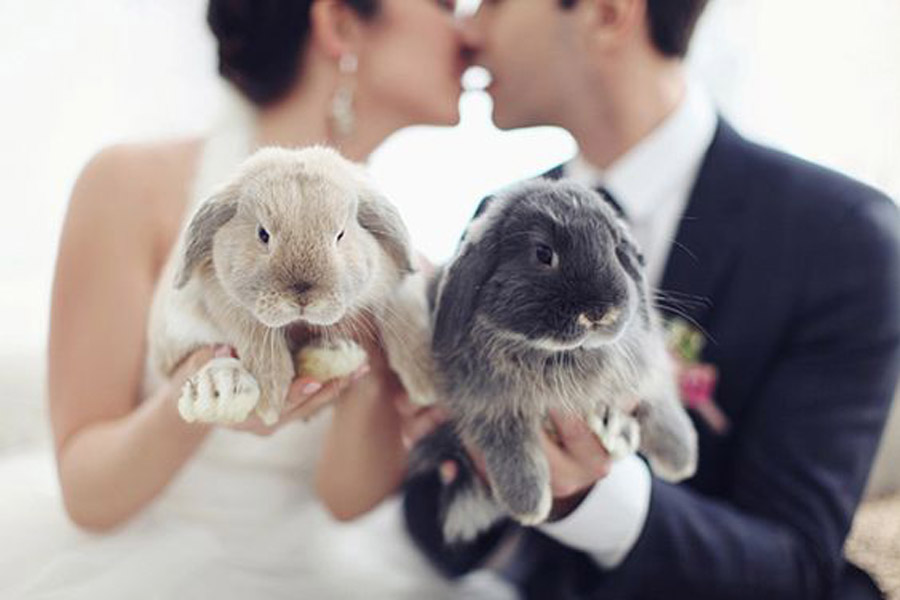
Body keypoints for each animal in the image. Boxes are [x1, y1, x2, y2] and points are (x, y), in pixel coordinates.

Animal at [412, 180, 700, 540]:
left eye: (615, 251)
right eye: (543, 253)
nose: (599, 312)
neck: (562, 353)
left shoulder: (644, 374)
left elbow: (661, 409)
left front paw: (681, 460)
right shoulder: (490, 409)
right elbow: (513, 454)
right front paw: (529, 505)